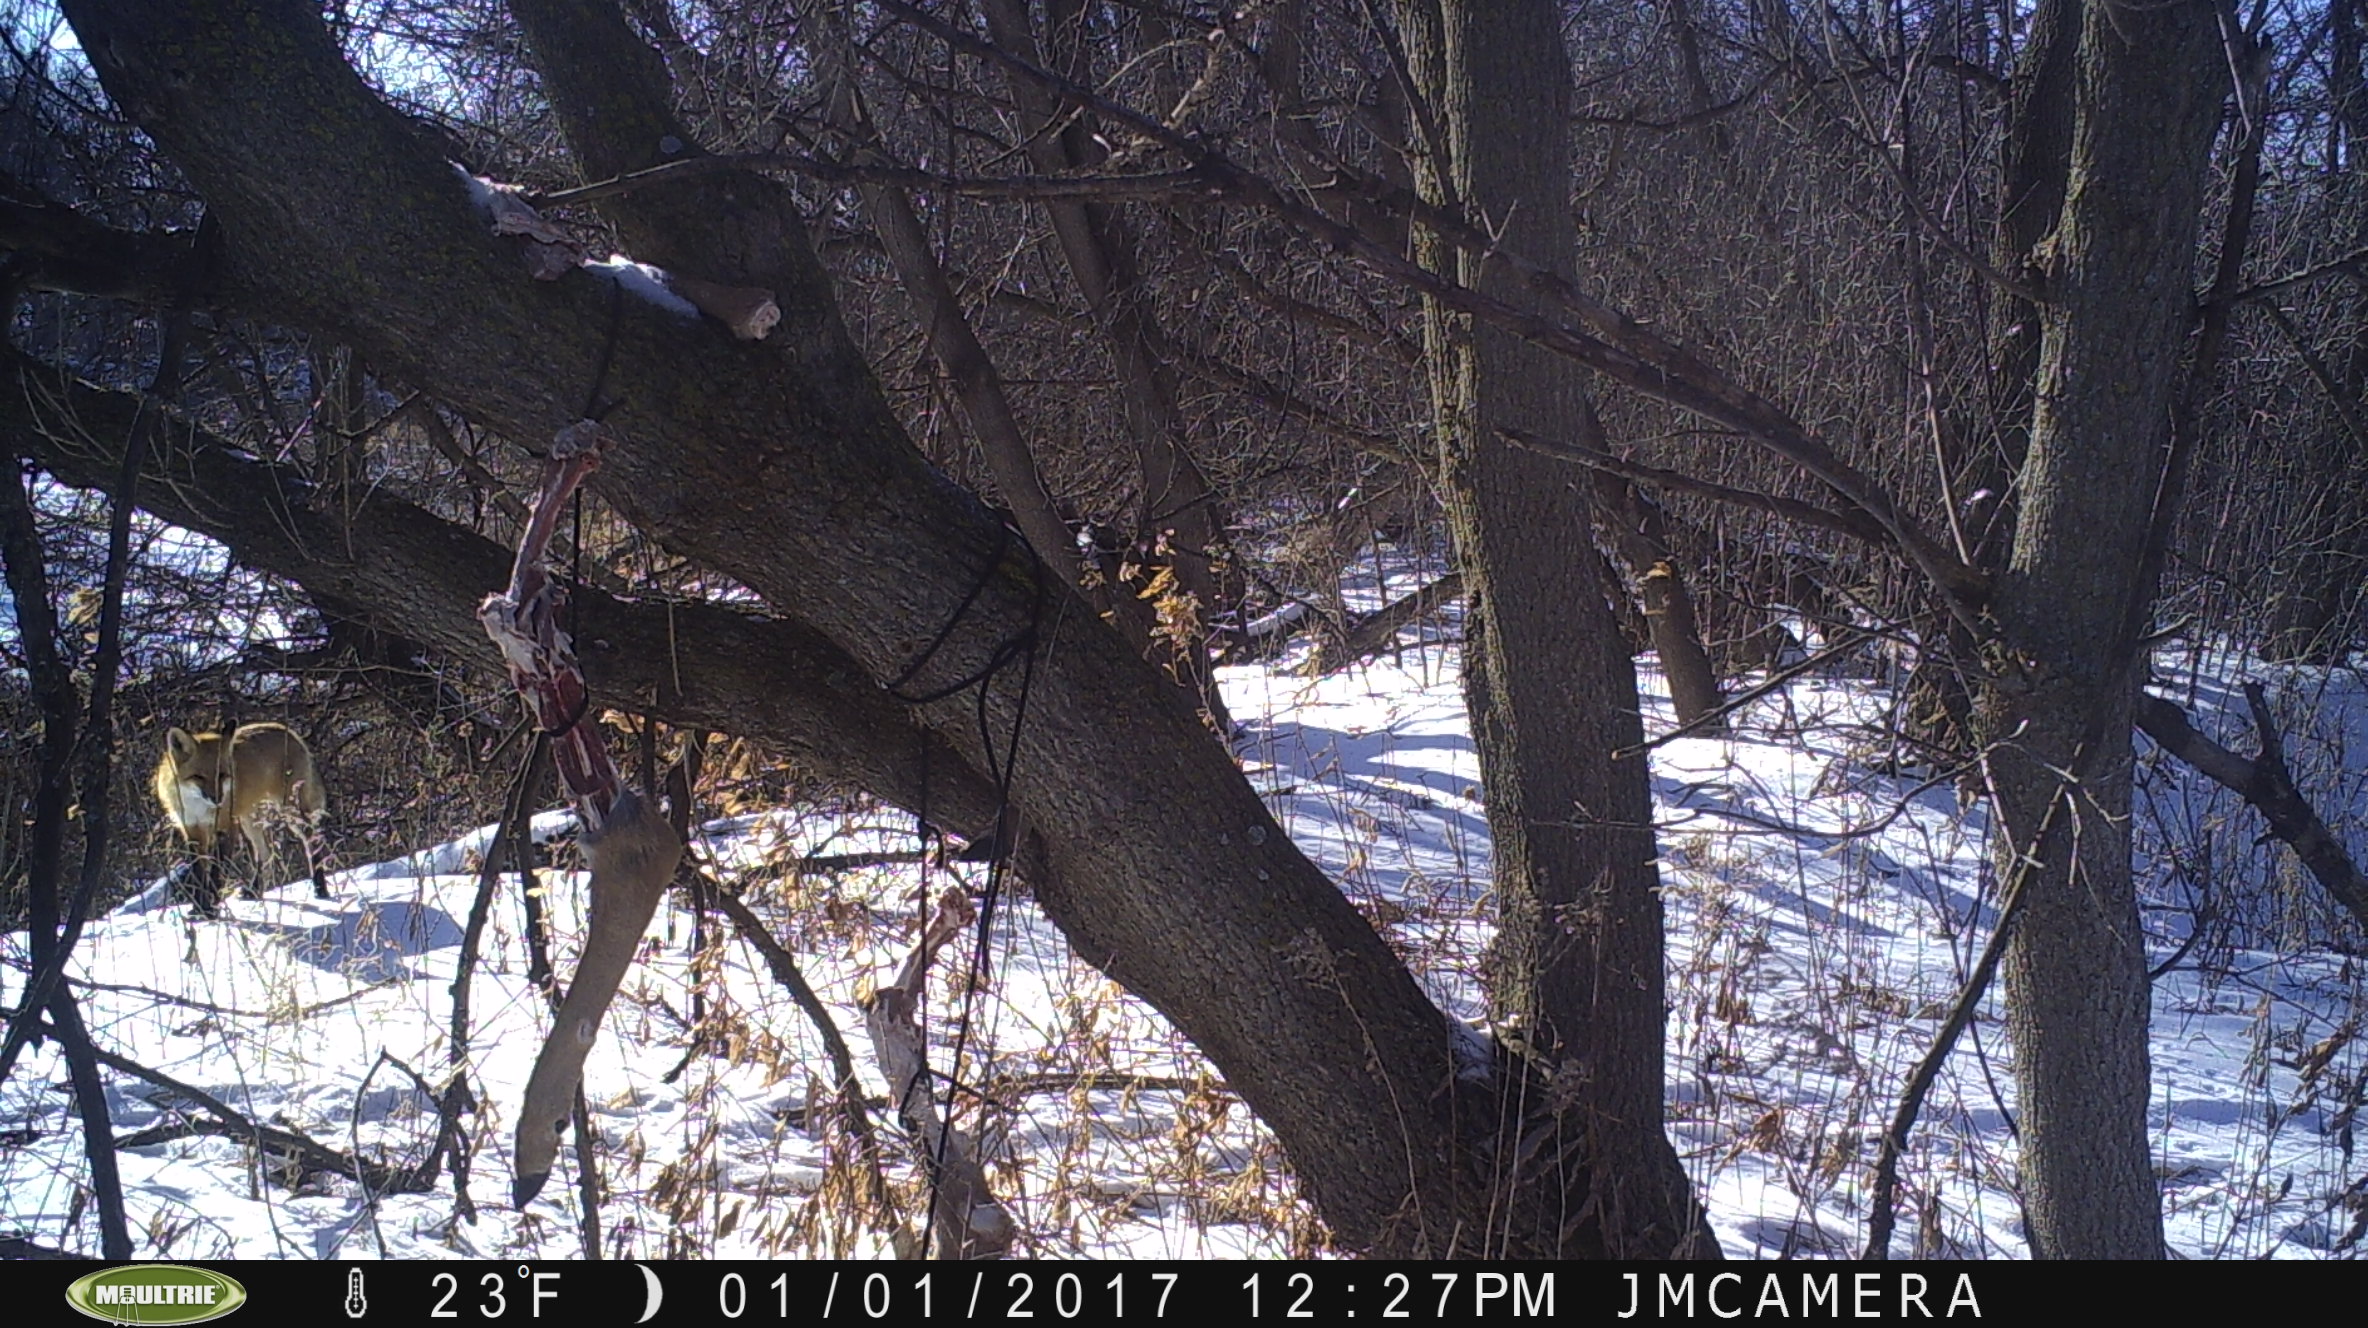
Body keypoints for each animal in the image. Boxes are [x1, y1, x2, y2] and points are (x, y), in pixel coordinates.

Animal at [152, 722, 330, 915]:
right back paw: (254, 891)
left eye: (222, 775)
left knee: (312, 842)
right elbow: (199, 874)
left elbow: (217, 873)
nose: (217, 799)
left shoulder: (225, 827)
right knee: (266, 854)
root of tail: (285, 728)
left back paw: (320, 889)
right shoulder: (192, 830)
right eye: (198, 777)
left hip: (291, 812)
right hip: (249, 822)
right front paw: (199, 908)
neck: (200, 808)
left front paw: (209, 911)